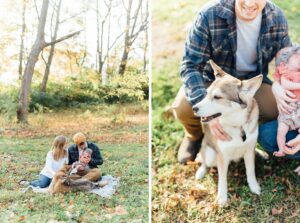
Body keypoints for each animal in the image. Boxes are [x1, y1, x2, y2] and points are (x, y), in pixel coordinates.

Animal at [193, 60, 262, 206]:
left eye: (217, 97)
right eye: (207, 93)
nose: (194, 108)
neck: (237, 125)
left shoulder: (249, 151)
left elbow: (250, 171)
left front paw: (254, 187)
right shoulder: (222, 156)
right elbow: (222, 180)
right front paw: (222, 198)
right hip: (210, 154)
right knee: (204, 161)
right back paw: (201, 172)